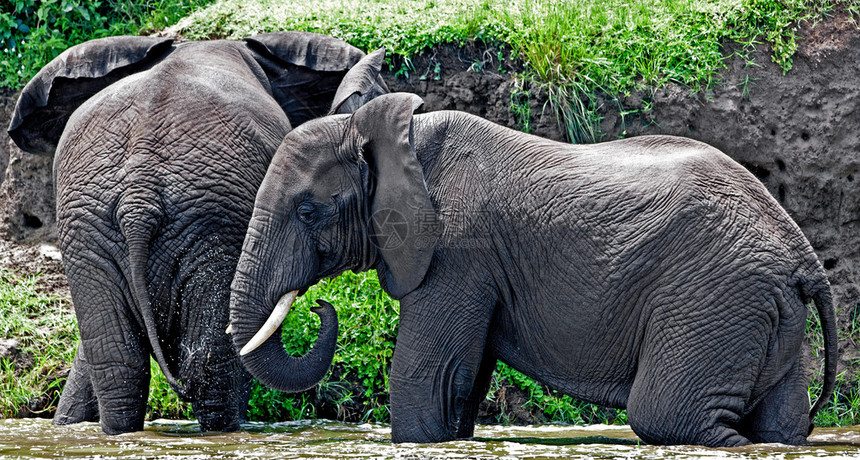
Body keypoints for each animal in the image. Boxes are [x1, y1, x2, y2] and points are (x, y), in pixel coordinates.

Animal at [5, 32, 390, 434]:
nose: (320, 307)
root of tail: (139, 195)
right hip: (206, 218)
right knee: (211, 366)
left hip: (97, 225)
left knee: (122, 363)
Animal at [230, 91, 840, 448]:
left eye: (307, 211)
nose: (322, 305)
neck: (394, 133)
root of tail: (803, 254)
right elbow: (460, 382)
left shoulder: (457, 249)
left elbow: (426, 377)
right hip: (759, 305)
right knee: (777, 422)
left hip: (716, 292)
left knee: (668, 414)